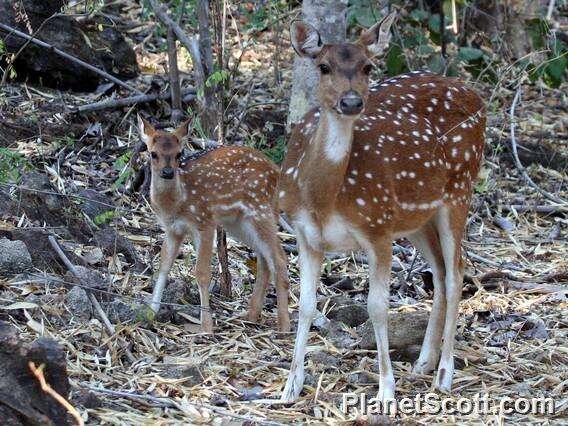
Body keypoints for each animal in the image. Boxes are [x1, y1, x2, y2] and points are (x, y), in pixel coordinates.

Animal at [137, 116, 288, 332]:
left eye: (179, 153)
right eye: (153, 153)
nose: (167, 172)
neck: (177, 203)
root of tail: (277, 171)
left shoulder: (205, 222)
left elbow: (201, 273)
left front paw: (206, 327)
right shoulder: (173, 229)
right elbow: (164, 265)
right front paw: (150, 313)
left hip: (261, 212)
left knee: (280, 259)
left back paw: (284, 327)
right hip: (239, 223)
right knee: (264, 259)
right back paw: (250, 316)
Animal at [278, 11, 486, 402]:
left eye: (368, 66)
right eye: (324, 66)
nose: (351, 102)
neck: (323, 198)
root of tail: (473, 93)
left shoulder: (377, 228)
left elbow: (377, 308)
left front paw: (386, 391)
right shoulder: (305, 234)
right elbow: (306, 305)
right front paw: (290, 386)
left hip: (459, 190)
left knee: (457, 272)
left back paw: (444, 374)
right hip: (416, 216)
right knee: (439, 271)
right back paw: (424, 361)